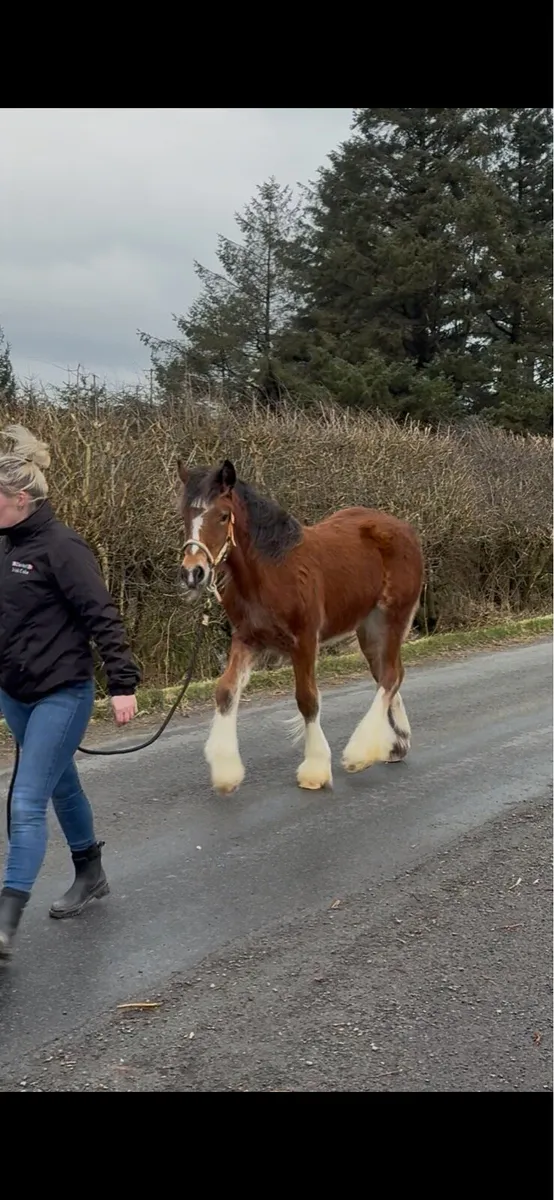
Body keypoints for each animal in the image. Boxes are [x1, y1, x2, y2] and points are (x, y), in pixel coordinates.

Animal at [177, 458, 424, 795]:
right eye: (185, 515)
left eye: (223, 515)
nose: (194, 573)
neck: (271, 571)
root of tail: (405, 530)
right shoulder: (248, 638)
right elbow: (226, 691)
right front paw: (226, 772)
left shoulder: (304, 641)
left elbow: (307, 699)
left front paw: (315, 770)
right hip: (368, 629)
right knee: (389, 675)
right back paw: (396, 744)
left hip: (392, 618)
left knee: (389, 676)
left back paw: (359, 753)